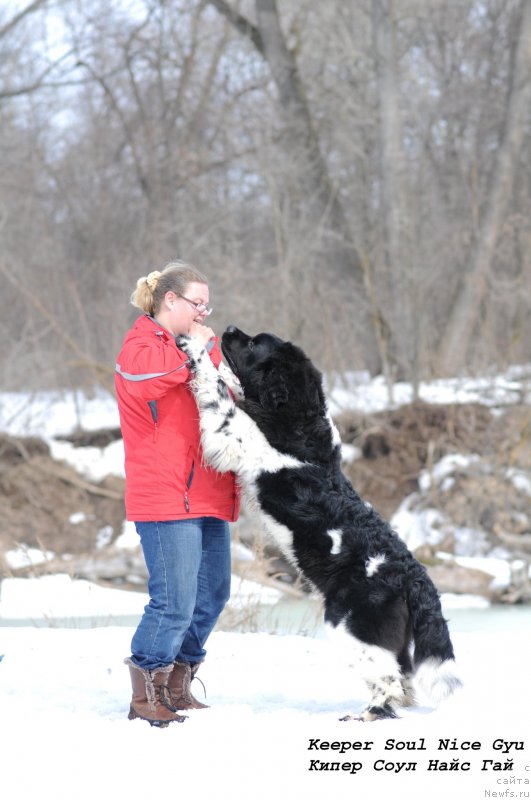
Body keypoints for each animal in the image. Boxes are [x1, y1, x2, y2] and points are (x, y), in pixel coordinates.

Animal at [178, 324, 462, 720]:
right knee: (401, 677)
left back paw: (366, 715)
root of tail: (416, 579)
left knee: (388, 679)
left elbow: (218, 390)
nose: (230, 328)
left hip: (351, 626)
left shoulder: (234, 433)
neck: (297, 419)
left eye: (253, 344)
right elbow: (223, 385)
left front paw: (193, 345)